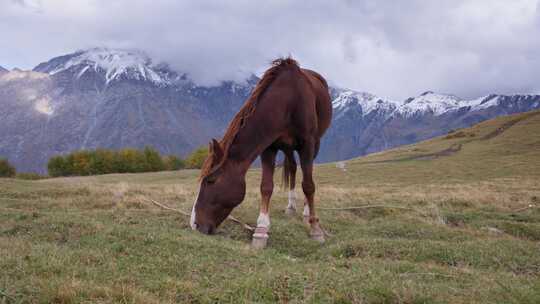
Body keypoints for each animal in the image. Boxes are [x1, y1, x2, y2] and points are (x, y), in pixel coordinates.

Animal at [190, 57, 334, 247]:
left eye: (210, 181)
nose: (194, 224)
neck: (288, 100)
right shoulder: (268, 147)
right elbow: (266, 187)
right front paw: (261, 230)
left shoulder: (307, 144)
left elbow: (309, 186)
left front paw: (315, 229)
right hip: (288, 148)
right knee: (293, 168)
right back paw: (291, 207)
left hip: (314, 145)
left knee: (306, 175)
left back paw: (306, 212)